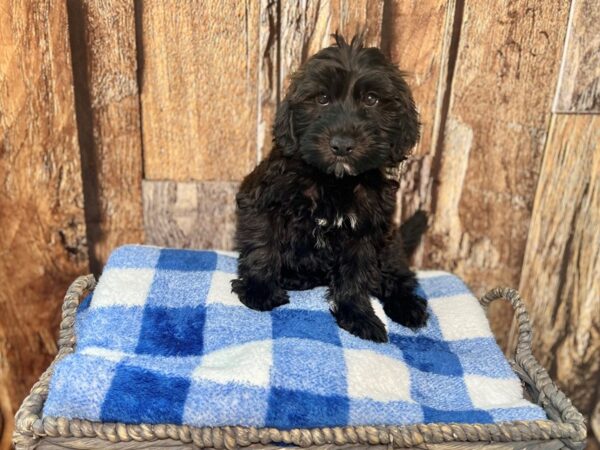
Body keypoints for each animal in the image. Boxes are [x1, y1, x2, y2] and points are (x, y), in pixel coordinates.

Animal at [232, 35, 428, 342]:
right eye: (322, 98)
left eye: (371, 99)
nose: (342, 145)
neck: (334, 181)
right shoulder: (262, 200)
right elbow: (262, 244)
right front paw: (259, 289)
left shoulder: (365, 230)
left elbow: (356, 273)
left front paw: (358, 315)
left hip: (390, 244)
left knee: (398, 275)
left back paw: (408, 307)